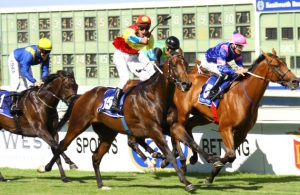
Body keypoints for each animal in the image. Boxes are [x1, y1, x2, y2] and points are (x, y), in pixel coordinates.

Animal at [37, 53, 204, 192]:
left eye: (185, 64)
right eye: (174, 65)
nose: (187, 84)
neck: (155, 96)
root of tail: (82, 96)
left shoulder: (173, 126)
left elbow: (191, 143)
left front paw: (208, 159)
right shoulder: (154, 129)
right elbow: (169, 154)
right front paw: (186, 182)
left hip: (108, 133)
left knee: (96, 157)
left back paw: (101, 184)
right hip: (77, 125)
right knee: (61, 145)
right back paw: (46, 167)